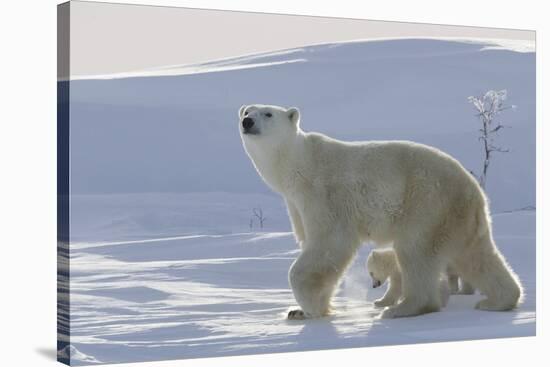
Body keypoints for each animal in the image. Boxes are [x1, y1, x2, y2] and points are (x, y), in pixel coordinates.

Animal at [239, 103, 524, 320]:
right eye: (247, 110)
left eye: (268, 113)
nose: (247, 121)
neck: (299, 165)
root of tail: (474, 188)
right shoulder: (296, 203)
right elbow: (310, 242)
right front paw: (299, 311)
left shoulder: (323, 195)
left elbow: (329, 244)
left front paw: (311, 307)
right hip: (455, 216)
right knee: (476, 255)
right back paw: (498, 300)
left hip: (426, 202)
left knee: (416, 252)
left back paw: (403, 308)